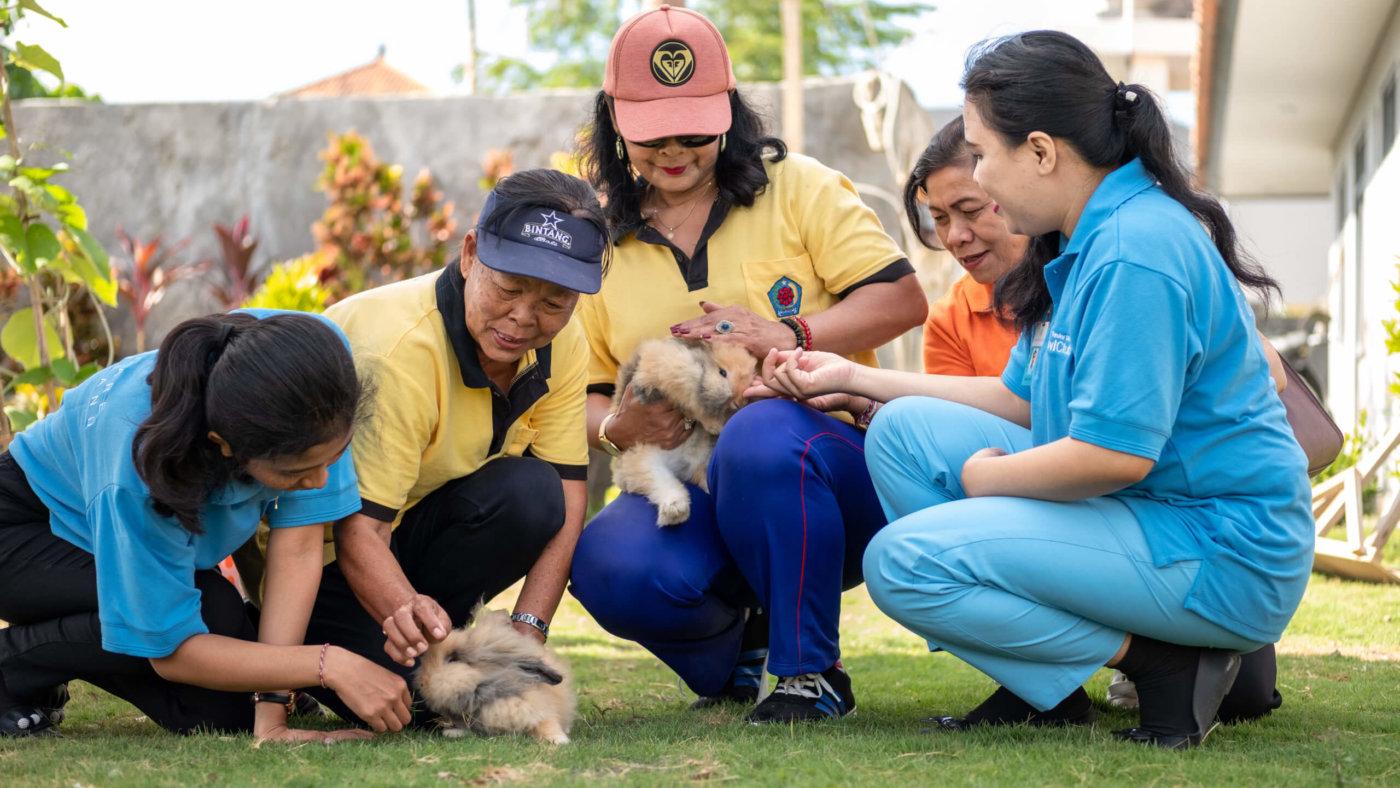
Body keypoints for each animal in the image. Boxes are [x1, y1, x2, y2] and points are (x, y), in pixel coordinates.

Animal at [411, 607, 576, 744]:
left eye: (454, 659)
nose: (423, 682)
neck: (491, 696)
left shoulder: (539, 711)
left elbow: (547, 723)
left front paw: (559, 740)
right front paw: (452, 733)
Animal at [607, 337, 750, 526]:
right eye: (722, 372)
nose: (739, 401)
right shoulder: (670, 370)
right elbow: (696, 401)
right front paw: (715, 426)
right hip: (644, 461)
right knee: (663, 485)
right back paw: (675, 512)